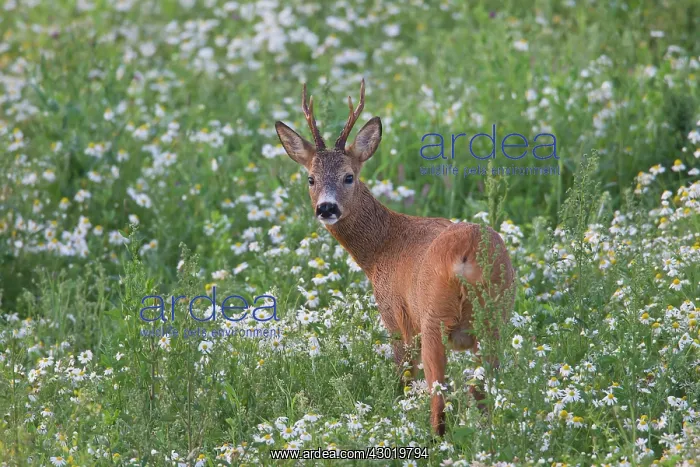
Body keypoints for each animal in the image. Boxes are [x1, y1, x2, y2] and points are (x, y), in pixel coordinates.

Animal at [275, 79, 515, 436]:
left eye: (349, 176)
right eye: (311, 178)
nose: (326, 207)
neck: (380, 250)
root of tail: (469, 254)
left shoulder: (395, 314)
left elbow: (402, 378)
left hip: (433, 318)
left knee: (439, 396)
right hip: (496, 316)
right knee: (483, 389)